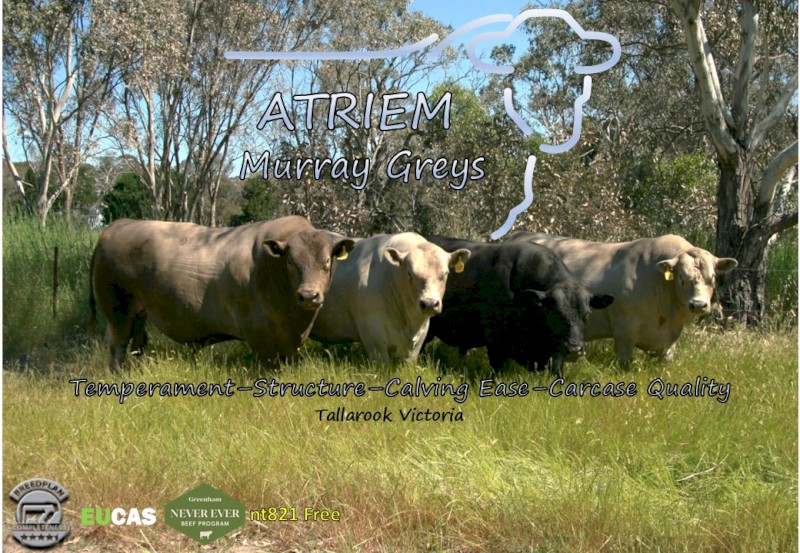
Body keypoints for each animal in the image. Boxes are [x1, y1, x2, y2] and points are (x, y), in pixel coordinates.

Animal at [89, 216, 355, 368]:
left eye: (327, 261)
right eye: (291, 262)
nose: (309, 295)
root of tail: (118, 225)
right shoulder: (258, 332)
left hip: (138, 313)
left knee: (137, 342)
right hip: (117, 309)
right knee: (118, 344)